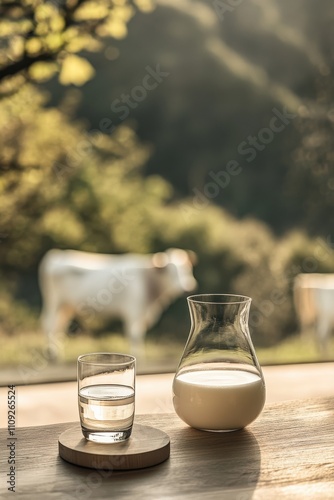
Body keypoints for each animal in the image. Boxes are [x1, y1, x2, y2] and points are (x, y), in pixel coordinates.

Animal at [39, 247, 197, 360]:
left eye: (186, 268)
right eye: (171, 271)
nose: (187, 287)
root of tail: (57, 254)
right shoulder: (134, 311)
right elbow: (135, 336)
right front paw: (139, 356)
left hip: (67, 306)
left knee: (59, 326)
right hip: (54, 301)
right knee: (49, 325)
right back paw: (52, 354)